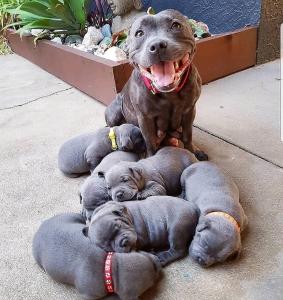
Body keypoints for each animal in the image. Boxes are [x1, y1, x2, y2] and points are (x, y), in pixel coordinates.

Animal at [32, 213, 162, 300]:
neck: (111, 269)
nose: (158, 261)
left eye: (146, 255)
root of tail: (41, 226)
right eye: (152, 282)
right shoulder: (89, 295)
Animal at [105, 9, 207, 161]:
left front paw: (193, 151)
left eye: (176, 25)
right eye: (139, 33)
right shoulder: (145, 118)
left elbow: (188, 135)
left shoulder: (190, 110)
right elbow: (150, 142)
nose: (157, 45)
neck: (169, 94)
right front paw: (150, 158)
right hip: (114, 111)